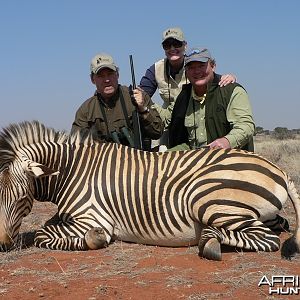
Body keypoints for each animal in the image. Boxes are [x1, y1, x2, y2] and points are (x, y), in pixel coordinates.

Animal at [0, 120, 298, 262]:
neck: (72, 171)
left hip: (208, 199)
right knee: (278, 225)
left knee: (267, 239)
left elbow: (43, 234)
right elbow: (47, 227)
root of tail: (278, 169)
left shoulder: (92, 218)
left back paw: (211, 241)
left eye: (21, 197)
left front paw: (94, 239)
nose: (3, 245)